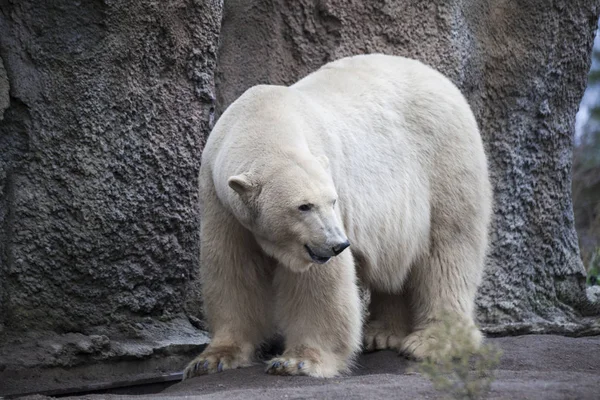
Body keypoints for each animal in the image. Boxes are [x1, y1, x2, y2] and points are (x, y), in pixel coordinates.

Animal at [183, 54, 492, 380]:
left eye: (332, 201)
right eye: (303, 206)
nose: (337, 244)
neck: (262, 118)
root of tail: (439, 78)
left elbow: (319, 283)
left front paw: (297, 361)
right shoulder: (219, 198)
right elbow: (232, 268)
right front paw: (212, 359)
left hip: (444, 161)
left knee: (448, 252)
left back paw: (431, 341)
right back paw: (381, 333)